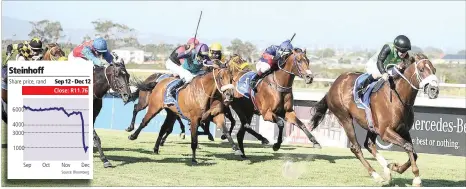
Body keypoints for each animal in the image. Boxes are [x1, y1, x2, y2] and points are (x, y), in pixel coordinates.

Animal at [310, 52, 440, 185]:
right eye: (421, 69)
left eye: (434, 70)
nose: (434, 90)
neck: (398, 98)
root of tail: (333, 85)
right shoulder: (385, 132)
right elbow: (408, 146)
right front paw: (416, 178)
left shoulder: (403, 130)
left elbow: (413, 152)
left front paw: (395, 167)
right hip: (344, 118)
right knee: (356, 147)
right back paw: (376, 175)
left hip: (371, 126)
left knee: (369, 144)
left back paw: (387, 171)